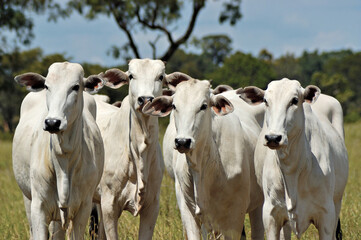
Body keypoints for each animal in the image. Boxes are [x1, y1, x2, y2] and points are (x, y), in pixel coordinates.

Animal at [12, 62, 104, 240]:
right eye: (47, 86)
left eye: (76, 87)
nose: (52, 122)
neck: (64, 159)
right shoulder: (38, 209)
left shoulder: (83, 209)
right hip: (28, 199)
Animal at [238, 78, 348, 239]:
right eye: (265, 101)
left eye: (294, 100)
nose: (273, 138)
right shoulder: (271, 216)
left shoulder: (326, 216)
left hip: (337, 203)